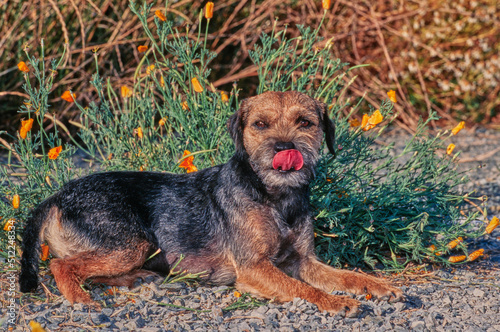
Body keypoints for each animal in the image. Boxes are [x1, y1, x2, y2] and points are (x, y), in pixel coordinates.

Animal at [20, 91, 402, 316]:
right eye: (260, 125)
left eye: (305, 123)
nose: (284, 148)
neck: (274, 196)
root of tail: (56, 197)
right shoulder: (253, 267)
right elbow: (301, 289)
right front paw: (335, 301)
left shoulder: (304, 260)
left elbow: (347, 275)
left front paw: (379, 286)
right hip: (130, 242)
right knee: (61, 265)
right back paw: (80, 299)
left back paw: (137, 278)